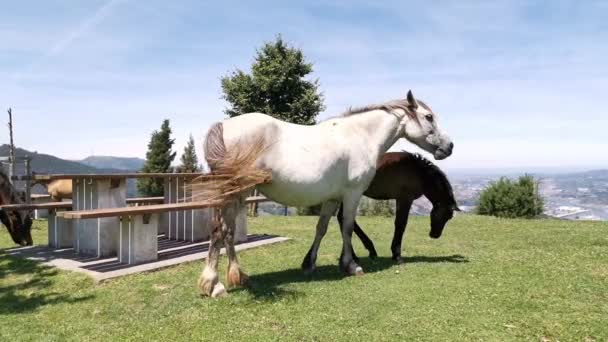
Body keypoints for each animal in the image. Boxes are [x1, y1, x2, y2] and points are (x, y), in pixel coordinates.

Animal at [195, 90, 452, 296]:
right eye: (429, 117)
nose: (449, 147)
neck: (360, 136)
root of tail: (224, 125)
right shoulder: (353, 194)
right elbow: (347, 227)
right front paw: (351, 265)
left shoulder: (332, 198)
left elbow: (322, 228)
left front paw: (310, 264)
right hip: (234, 191)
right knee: (220, 231)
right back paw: (215, 285)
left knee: (228, 232)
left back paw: (239, 277)